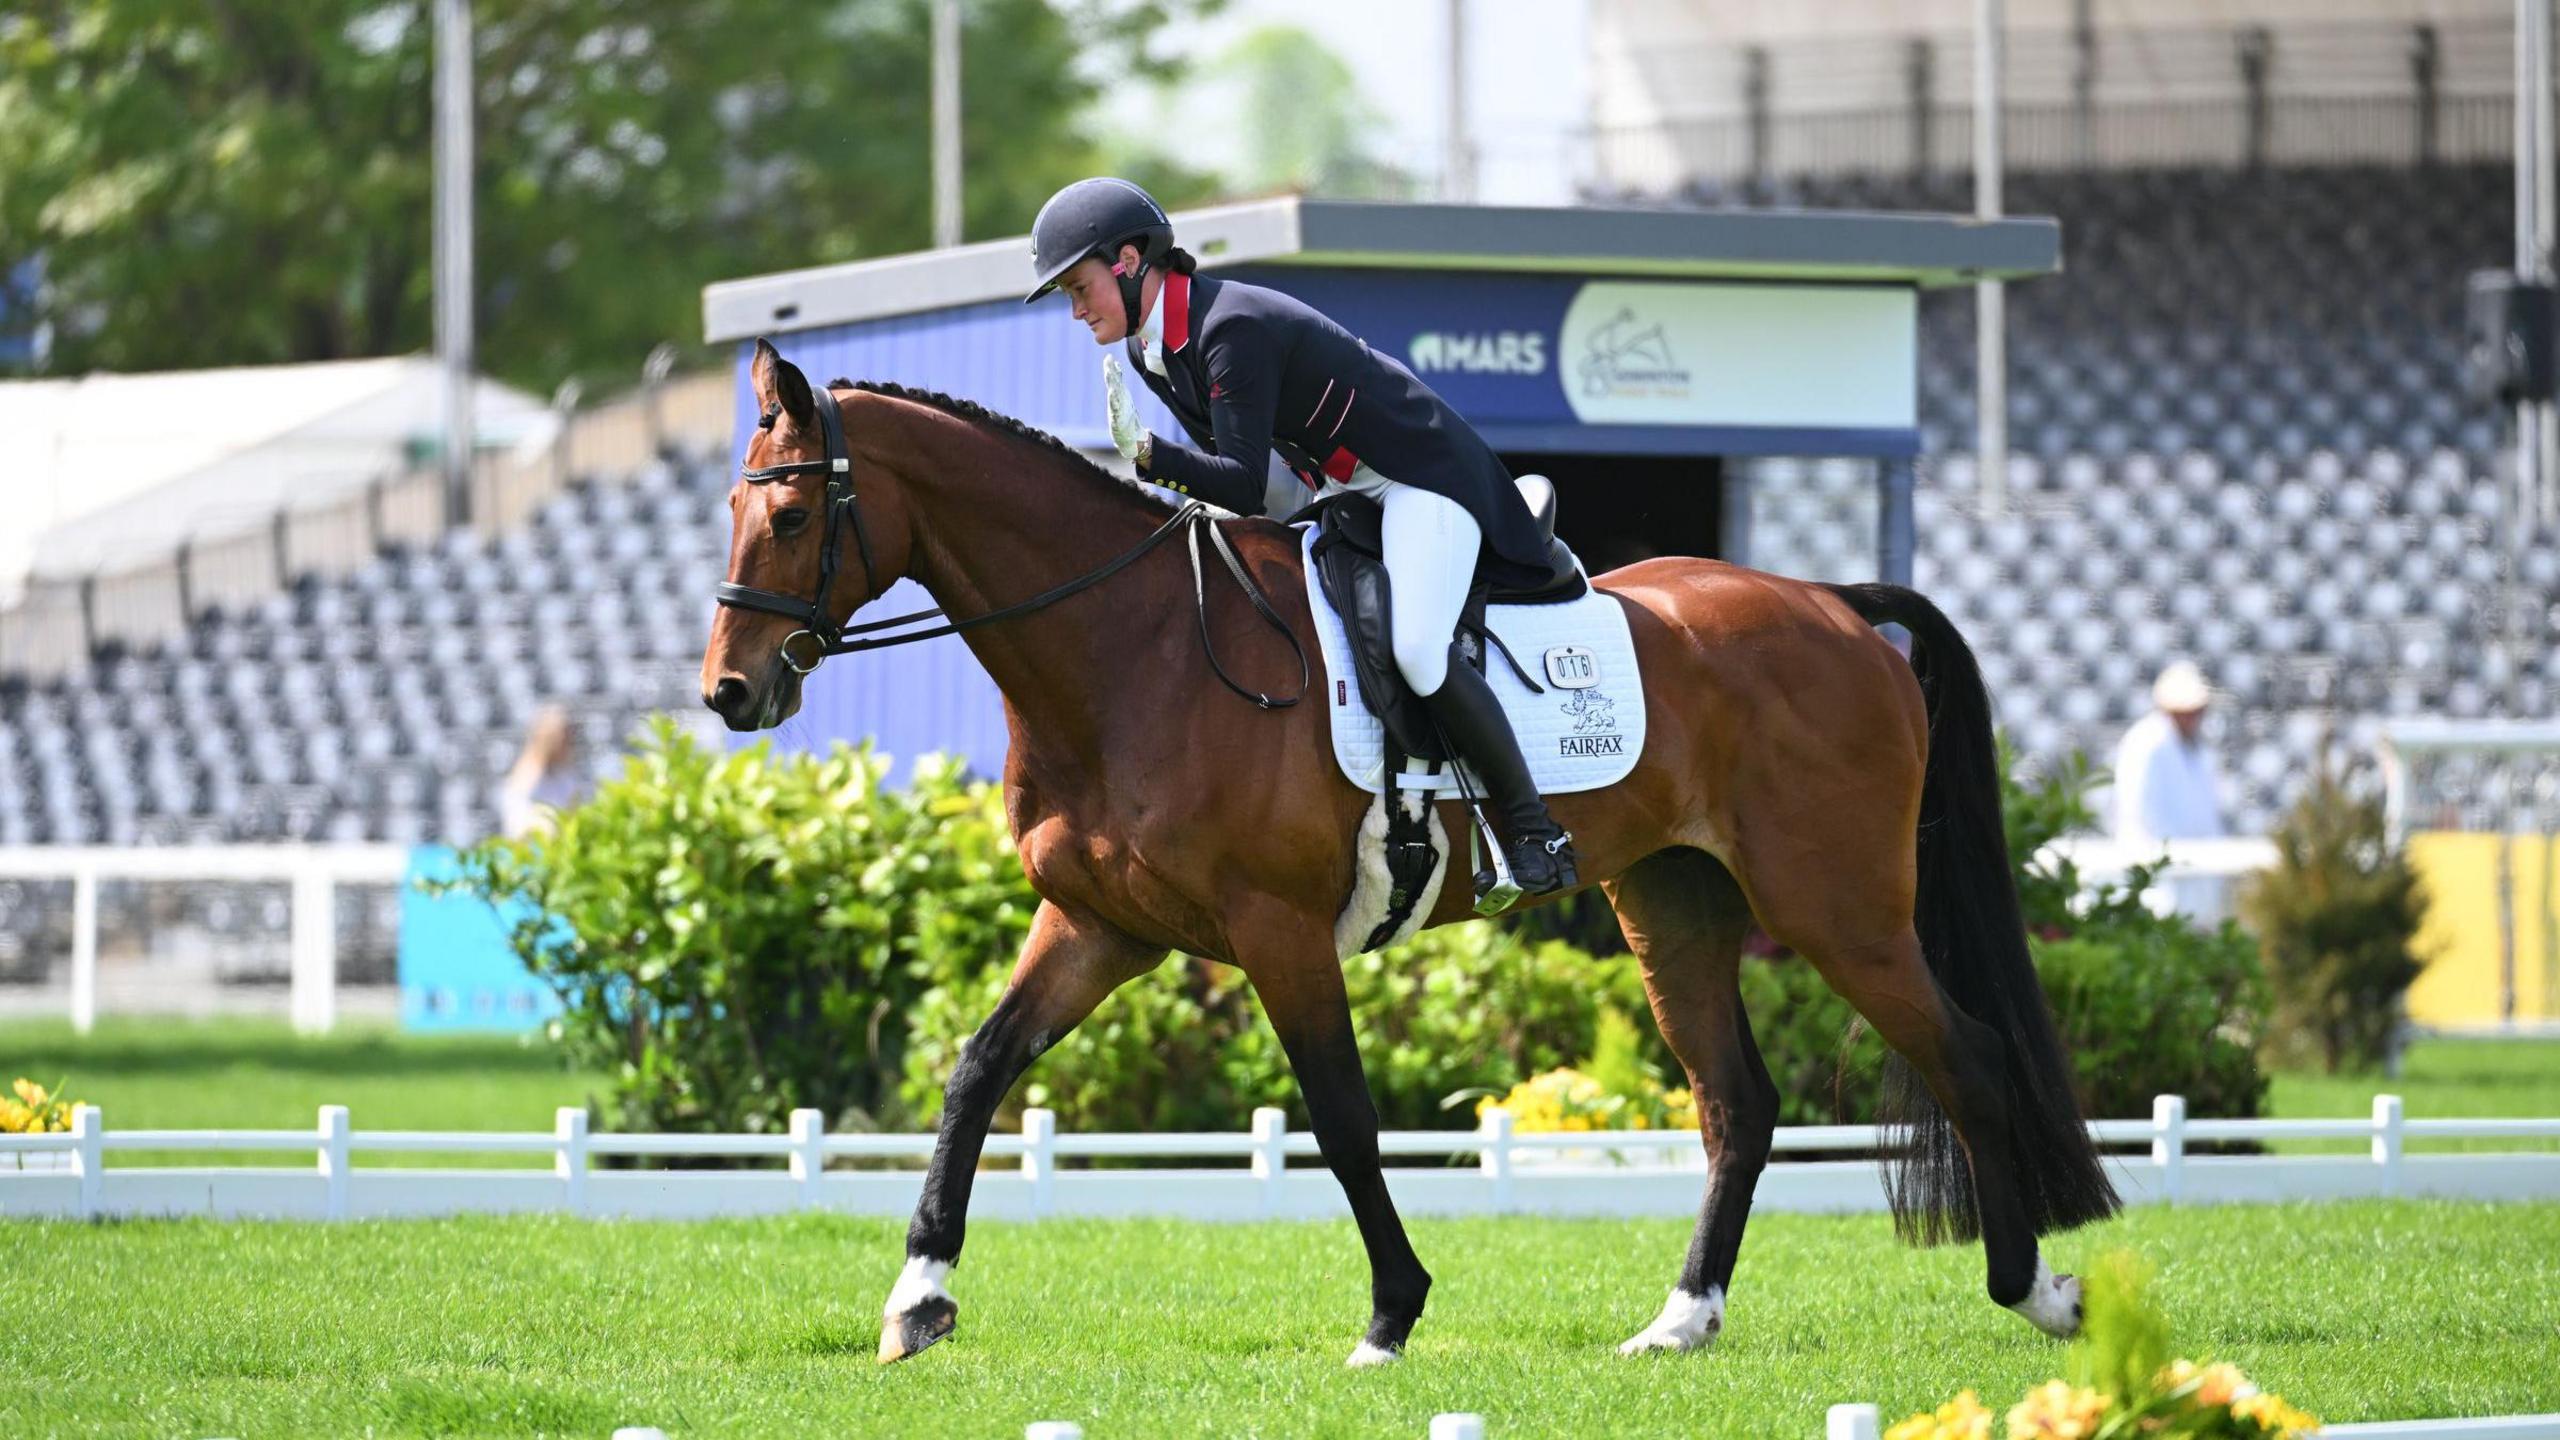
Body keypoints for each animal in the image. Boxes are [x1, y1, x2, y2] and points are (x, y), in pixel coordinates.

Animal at [706, 338, 2119, 1363]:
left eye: (793, 516)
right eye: (734, 507)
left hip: (1838, 908)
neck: (1129, 651)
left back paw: (2036, 1292)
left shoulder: (1275, 933)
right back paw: (1680, 1322)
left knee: (1965, 1056)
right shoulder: (1098, 928)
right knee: (1737, 1104)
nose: (730, 692)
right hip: (1674, 902)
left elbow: (1339, 1119)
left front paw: (1390, 1316)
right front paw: (917, 1297)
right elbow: (977, 1073)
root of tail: (1832, 605)